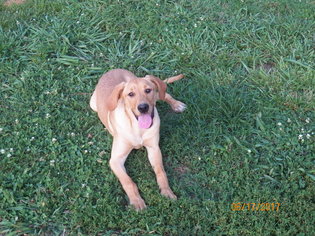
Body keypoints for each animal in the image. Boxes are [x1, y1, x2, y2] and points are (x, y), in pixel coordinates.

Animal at [90, 68, 186, 210]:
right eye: (130, 94)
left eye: (148, 90)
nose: (143, 107)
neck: (138, 128)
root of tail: (113, 70)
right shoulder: (115, 160)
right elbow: (128, 181)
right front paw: (136, 201)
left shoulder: (154, 148)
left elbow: (161, 172)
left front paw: (167, 192)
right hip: (92, 103)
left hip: (158, 94)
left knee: (165, 94)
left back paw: (177, 105)